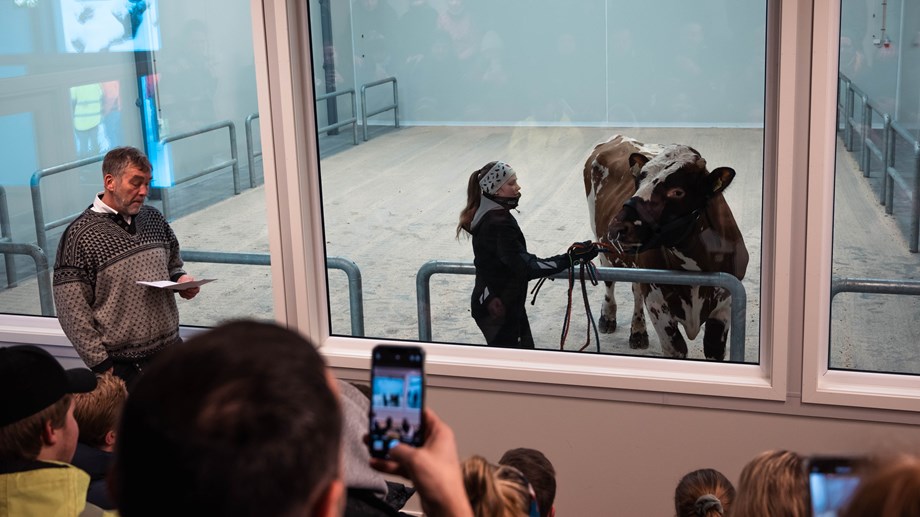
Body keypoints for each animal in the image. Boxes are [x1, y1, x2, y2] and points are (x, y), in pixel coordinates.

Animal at [584, 135, 748, 360]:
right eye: (638, 181)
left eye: (677, 192)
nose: (617, 227)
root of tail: (619, 138)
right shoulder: (658, 306)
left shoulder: (724, 306)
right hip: (603, 243)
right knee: (610, 280)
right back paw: (608, 317)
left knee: (636, 288)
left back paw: (637, 331)